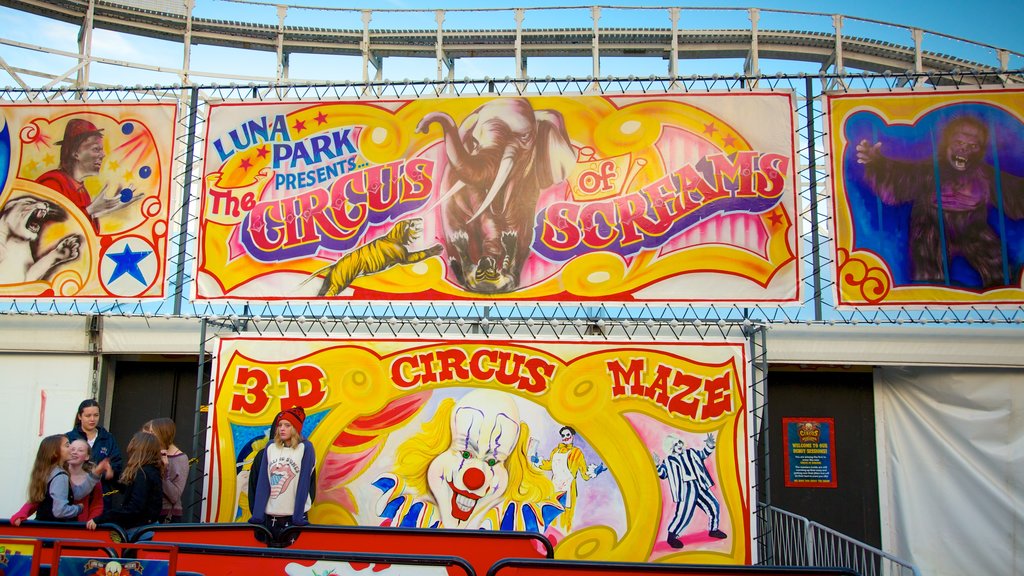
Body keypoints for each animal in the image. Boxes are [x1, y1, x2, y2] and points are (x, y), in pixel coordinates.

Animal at [311, 216, 440, 295]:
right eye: (412, 223)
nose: (420, 218)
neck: (397, 237)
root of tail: (335, 265)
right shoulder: (406, 258)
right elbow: (422, 253)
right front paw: (437, 249)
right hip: (340, 283)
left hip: (328, 283)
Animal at [415, 97, 577, 291]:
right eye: (474, 141)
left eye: (525, 137)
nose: (421, 128)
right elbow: (485, 215)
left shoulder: (529, 183)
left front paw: (505, 240)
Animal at [856, 115, 1024, 286]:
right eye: (960, 142)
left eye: (973, 146)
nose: (964, 150)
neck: (957, 173)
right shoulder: (927, 170)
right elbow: (897, 179)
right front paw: (873, 158)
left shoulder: (990, 176)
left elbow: (1014, 192)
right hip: (932, 236)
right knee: (930, 262)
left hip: (976, 235)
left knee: (993, 260)